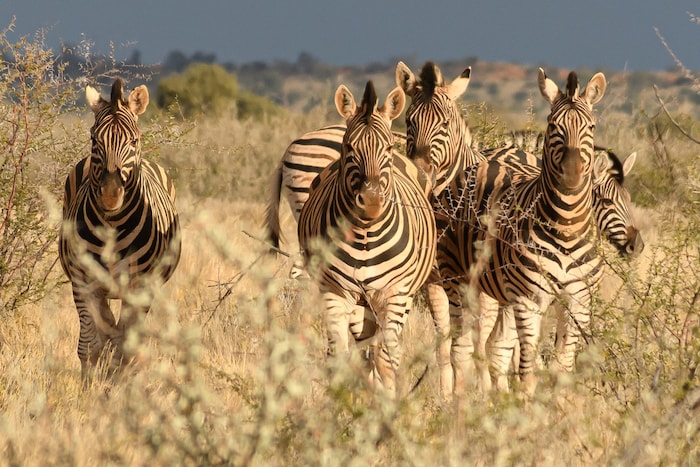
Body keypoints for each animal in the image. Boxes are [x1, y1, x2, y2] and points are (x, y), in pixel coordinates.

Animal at [59, 79, 181, 380]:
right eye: (94, 140)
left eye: (134, 141)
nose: (111, 196)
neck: (112, 227)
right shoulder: (82, 281)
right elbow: (90, 345)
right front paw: (90, 387)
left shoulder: (139, 286)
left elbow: (127, 347)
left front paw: (119, 385)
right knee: (106, 329)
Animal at [297, 81, 436, 396]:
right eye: (349, 147)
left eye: (387, 147)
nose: (372, 202)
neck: (364, 233)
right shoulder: (334, 292)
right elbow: (337, 356)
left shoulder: (394, 293)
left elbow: (386, 358)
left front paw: (388, 403)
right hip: (361, 303)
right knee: (363, 349)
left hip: (397, 298)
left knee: (381, 351)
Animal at [429, 68, 608, 395]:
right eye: (553, 125)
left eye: (590, 126)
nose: (573, 175)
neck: (566, 227)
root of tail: (482, 162)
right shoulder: (528, 300)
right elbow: (527, 371)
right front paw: (524, 407)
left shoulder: (579, 300)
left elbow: (562, 368)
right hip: (457, 279)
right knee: (461, 347)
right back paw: (459, 405)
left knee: (494, 347)